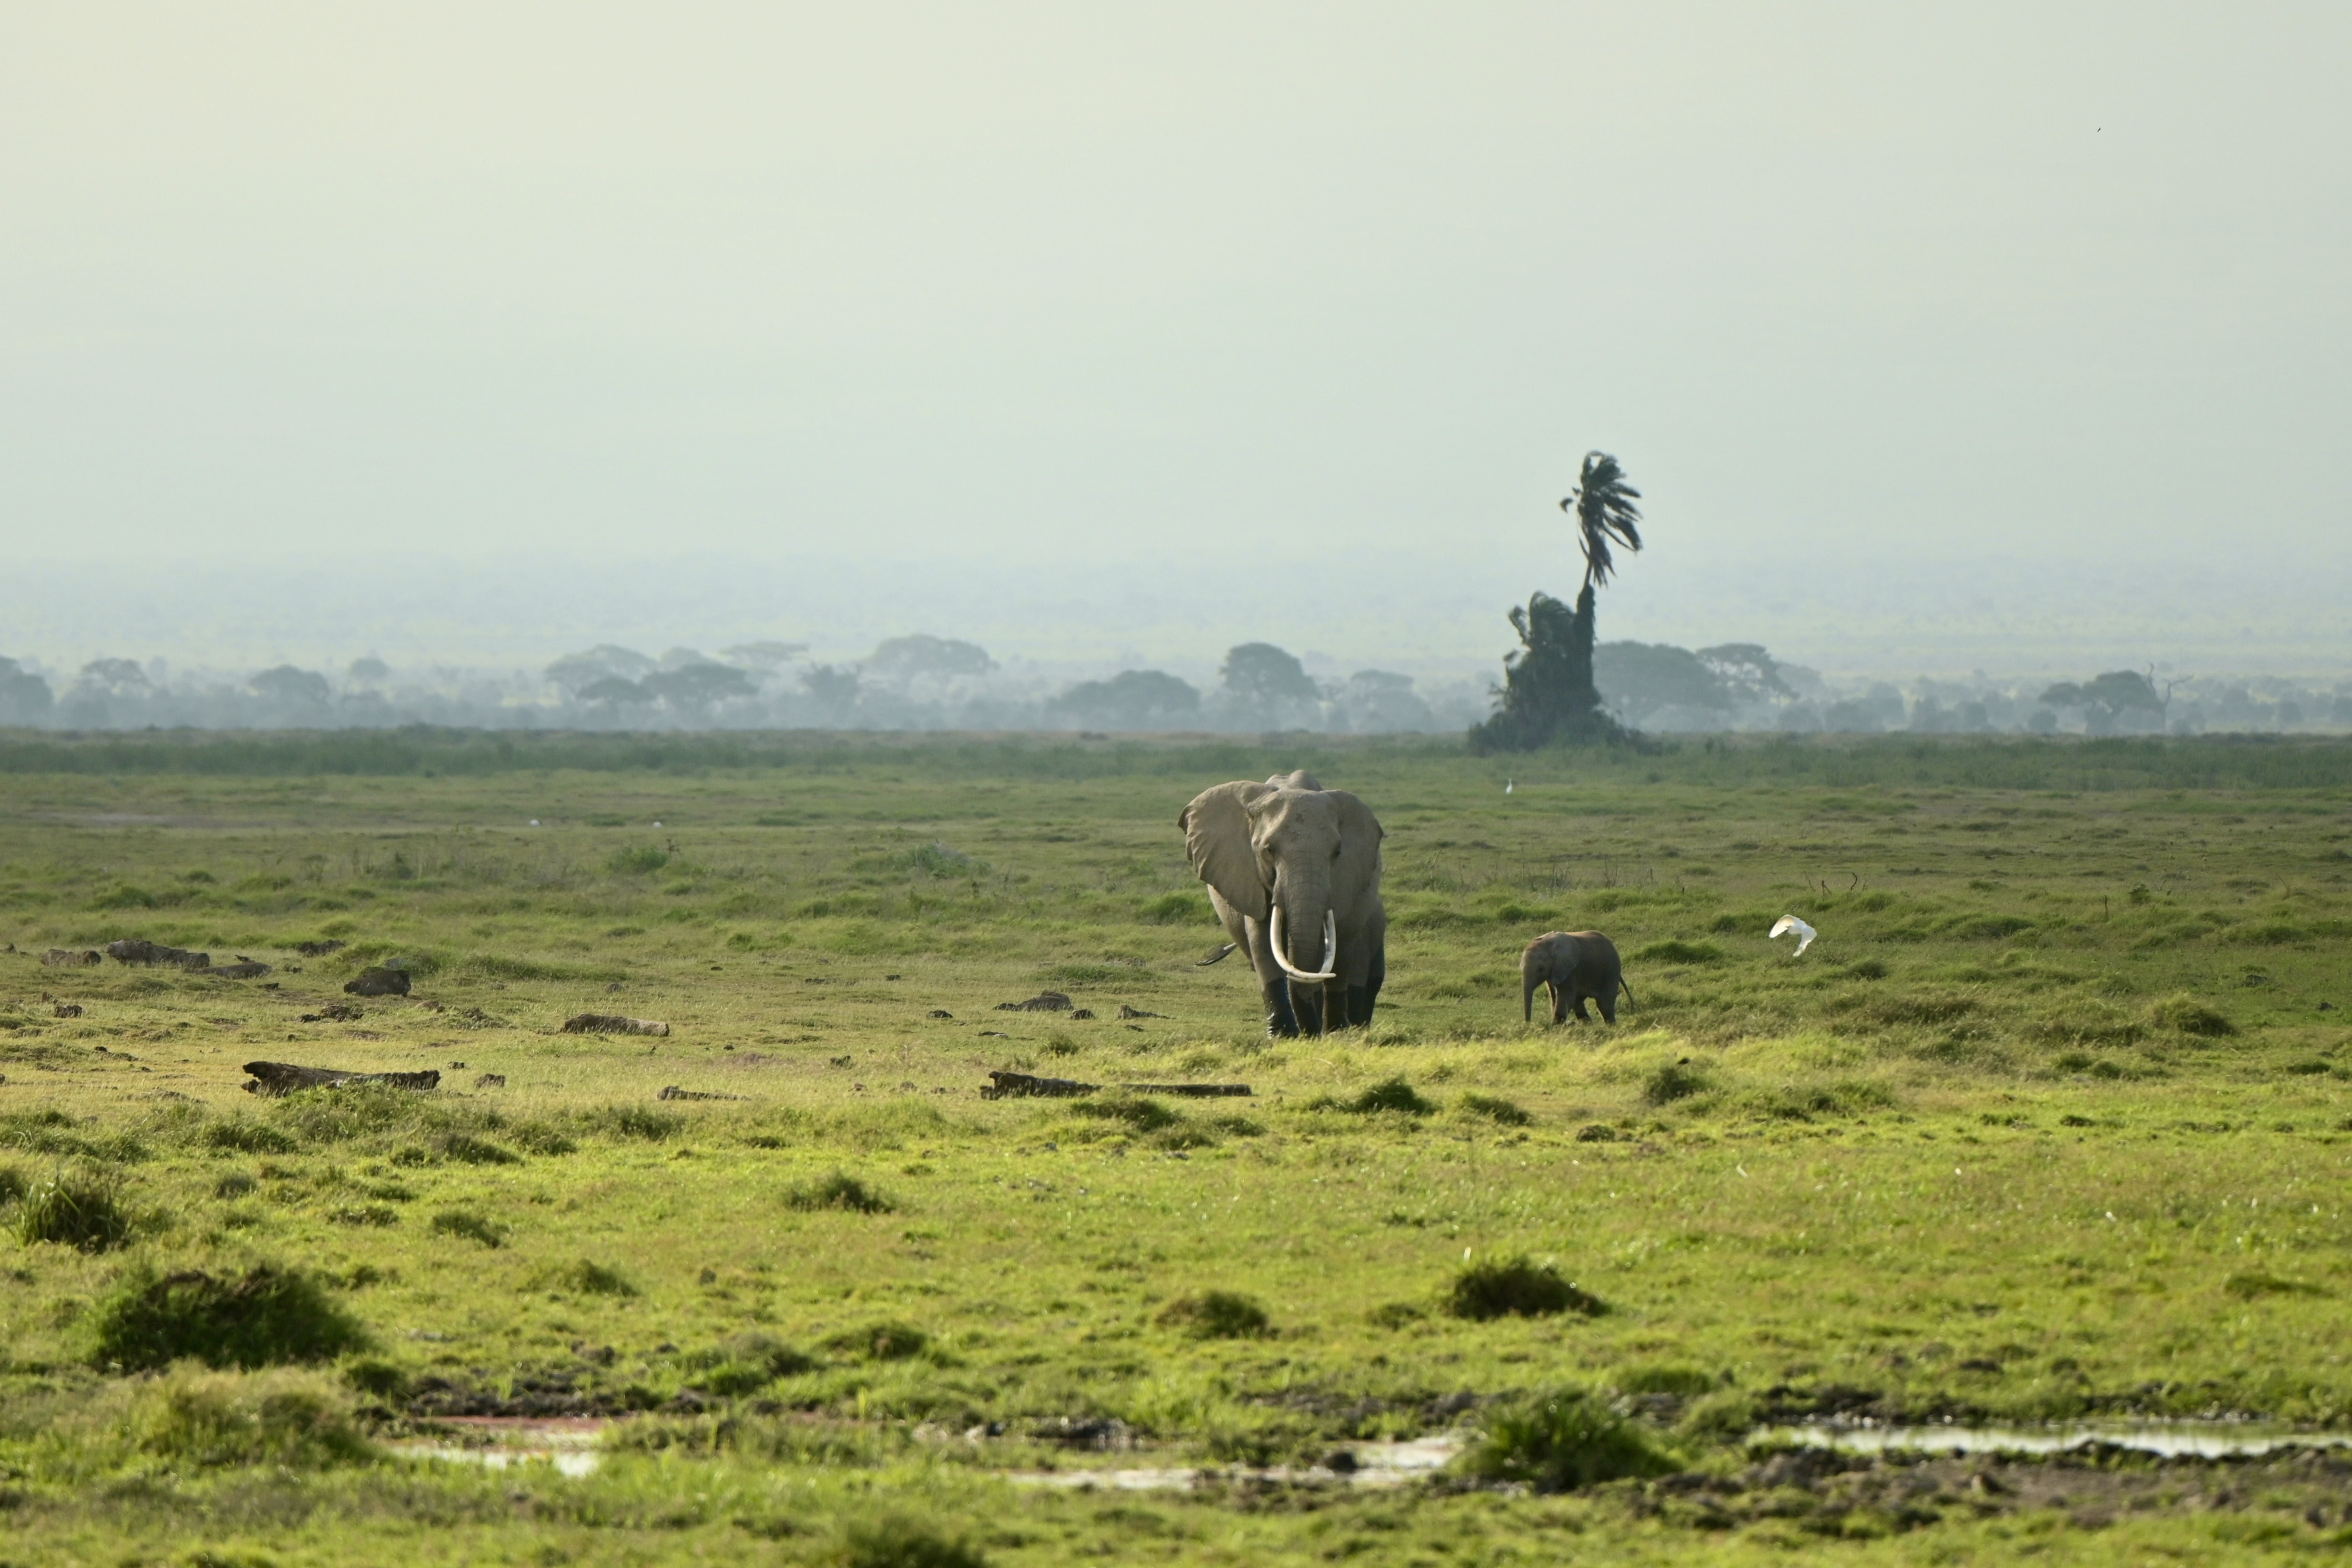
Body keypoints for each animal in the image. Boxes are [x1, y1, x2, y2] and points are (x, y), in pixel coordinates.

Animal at [1179, 770, 1387, 1037]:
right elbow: (1262, 940)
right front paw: (1283, 1034)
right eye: (1268, 850)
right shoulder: (1249, 877)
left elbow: (1327, 945)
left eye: (1338, 853)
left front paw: (1321, 1033)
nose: (1311, 1032)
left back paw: (1339, 1028)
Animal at [1521, 931, 1632, 1025]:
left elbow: (1567, 998)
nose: (1529, 1024)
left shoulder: (1570, 970)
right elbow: (1554, 998)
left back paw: (1611, 1026)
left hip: (1611, 971)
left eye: (1541, 969)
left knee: (1604, 1005)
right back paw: (1588, 1024)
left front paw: (1555, 1027)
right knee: (1579, 1003)